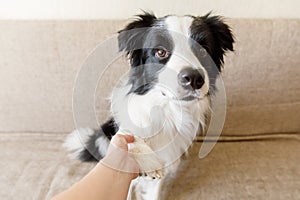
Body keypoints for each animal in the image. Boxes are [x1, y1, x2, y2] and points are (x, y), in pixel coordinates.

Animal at [64, 11, 234, 199]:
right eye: (160, 52)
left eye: (203, 50)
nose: (194, 78)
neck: (168, 111)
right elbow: (130, 137)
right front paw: (146, 159)